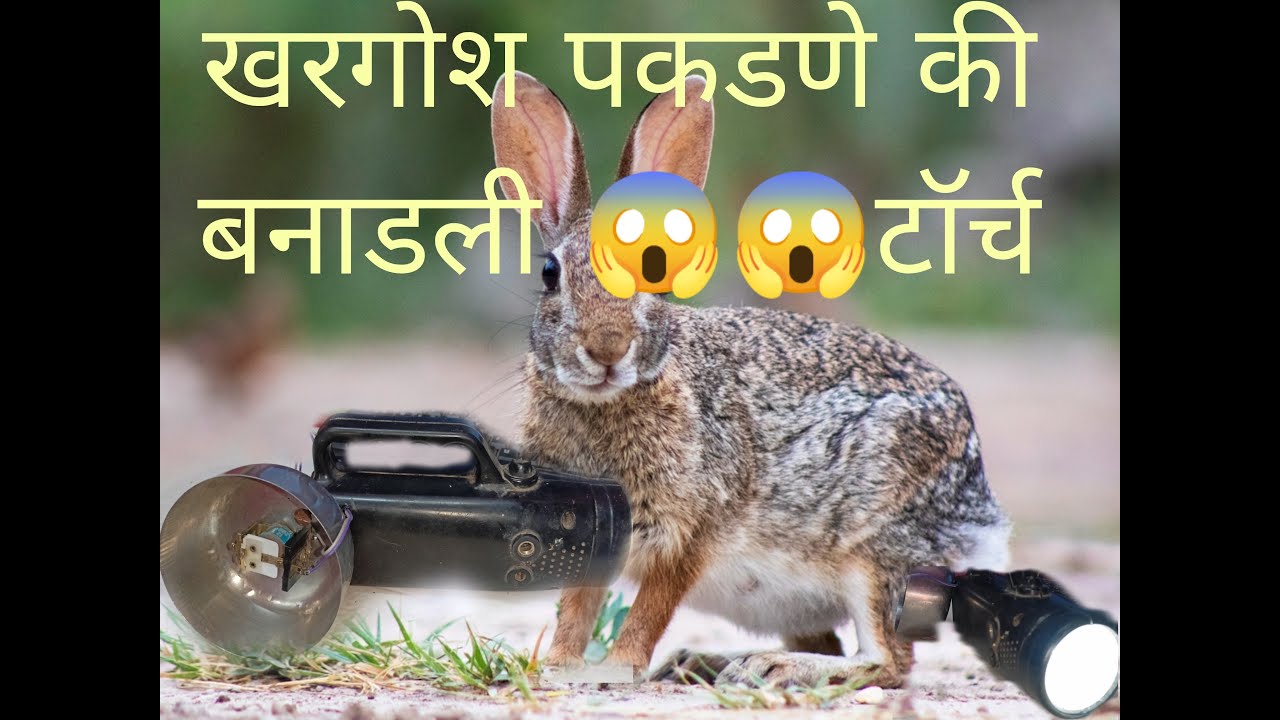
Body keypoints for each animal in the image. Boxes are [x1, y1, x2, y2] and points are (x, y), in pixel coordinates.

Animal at [489, 71, 1011, 689]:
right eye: (550, 274)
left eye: (653, 270)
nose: (607, 348)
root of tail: (979, 508)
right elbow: (577, 605)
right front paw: (558, 665)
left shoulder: (693, 530)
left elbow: (651, 608)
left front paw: (616, 668)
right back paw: (708, 663)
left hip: (875, 549)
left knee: (886, 661)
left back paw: (773, 666)